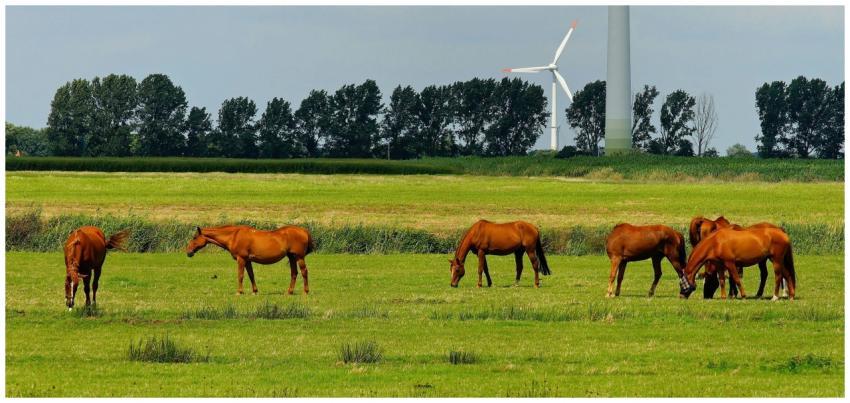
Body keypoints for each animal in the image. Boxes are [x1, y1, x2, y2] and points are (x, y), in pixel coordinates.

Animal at [186, 225, 314, 295]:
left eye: (194, 237)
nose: (188, 251)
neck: (234, 236)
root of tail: (303, 231)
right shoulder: (248, 260)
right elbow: (251, 275)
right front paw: (255, 291)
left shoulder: (241, 259)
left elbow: (240, 275)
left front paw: (239, 291)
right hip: (291, 257)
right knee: (294, 273)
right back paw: (289, 292)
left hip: (299, 257)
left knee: (304, 272)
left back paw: (305, 291)